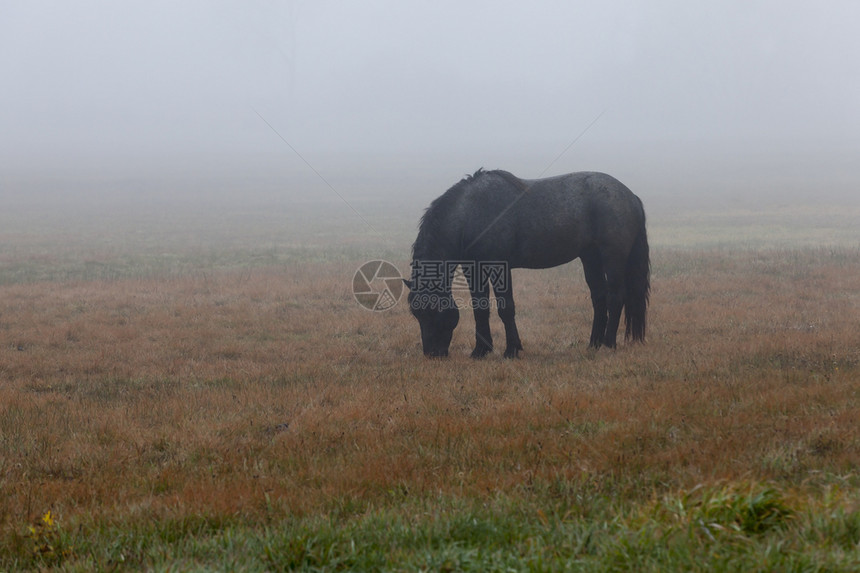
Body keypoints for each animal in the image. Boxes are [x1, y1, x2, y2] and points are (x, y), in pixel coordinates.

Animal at [406, 169, 648, 358]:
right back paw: (593, 344)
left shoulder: (499, 267)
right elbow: (480, 308)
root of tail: (630, 196)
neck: (470, 214)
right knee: (599, 298)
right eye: (416, 313)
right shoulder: (473, 270)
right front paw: (480, 351)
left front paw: (511, 350)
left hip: (612, 258)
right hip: (590, 257)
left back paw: (608, 343)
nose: (432, 353)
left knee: (616, 297)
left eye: (435, 308)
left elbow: (506, 307)